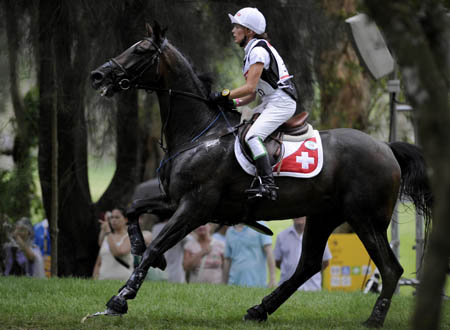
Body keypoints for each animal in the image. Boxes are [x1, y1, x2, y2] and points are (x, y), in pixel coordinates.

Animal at [89, 22, 430, 328]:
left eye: (141, 50)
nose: (97, 75)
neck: (199, 134)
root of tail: (386, 147)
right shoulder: (174, 201)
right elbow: (133, 211)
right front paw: (135, 249)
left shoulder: (195, 208)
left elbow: (156, 245)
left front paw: (119, 300)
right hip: (323, 216)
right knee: (307, 265)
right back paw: (259, 310)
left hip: (365, 219)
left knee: (390, 269)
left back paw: (374, 319)